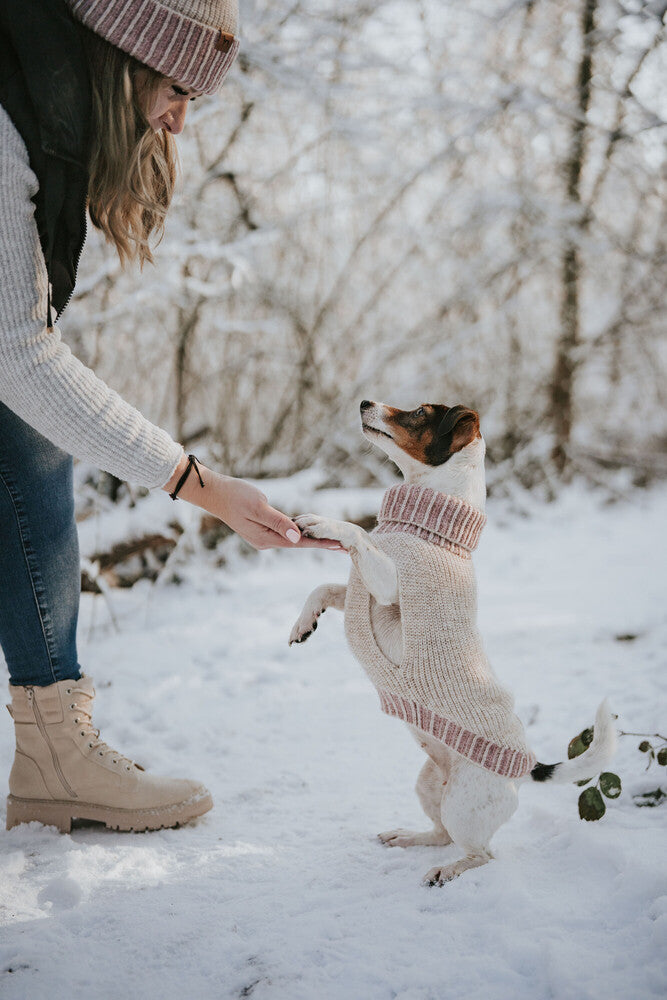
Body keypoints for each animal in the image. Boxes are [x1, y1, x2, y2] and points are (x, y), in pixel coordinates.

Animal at [288, 398, 616, 884]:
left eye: (420, 413)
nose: (365, 402)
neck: (429, 525)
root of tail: (526, 766)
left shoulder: (390, 589)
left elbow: (357, 534)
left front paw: (322, 522)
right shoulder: (363, 595)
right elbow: (326, 588)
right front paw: (303, 623)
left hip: (465, 804)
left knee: (481, 854)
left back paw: (448, 871)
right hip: (429, 784)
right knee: (440, 832)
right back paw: (408, 836)